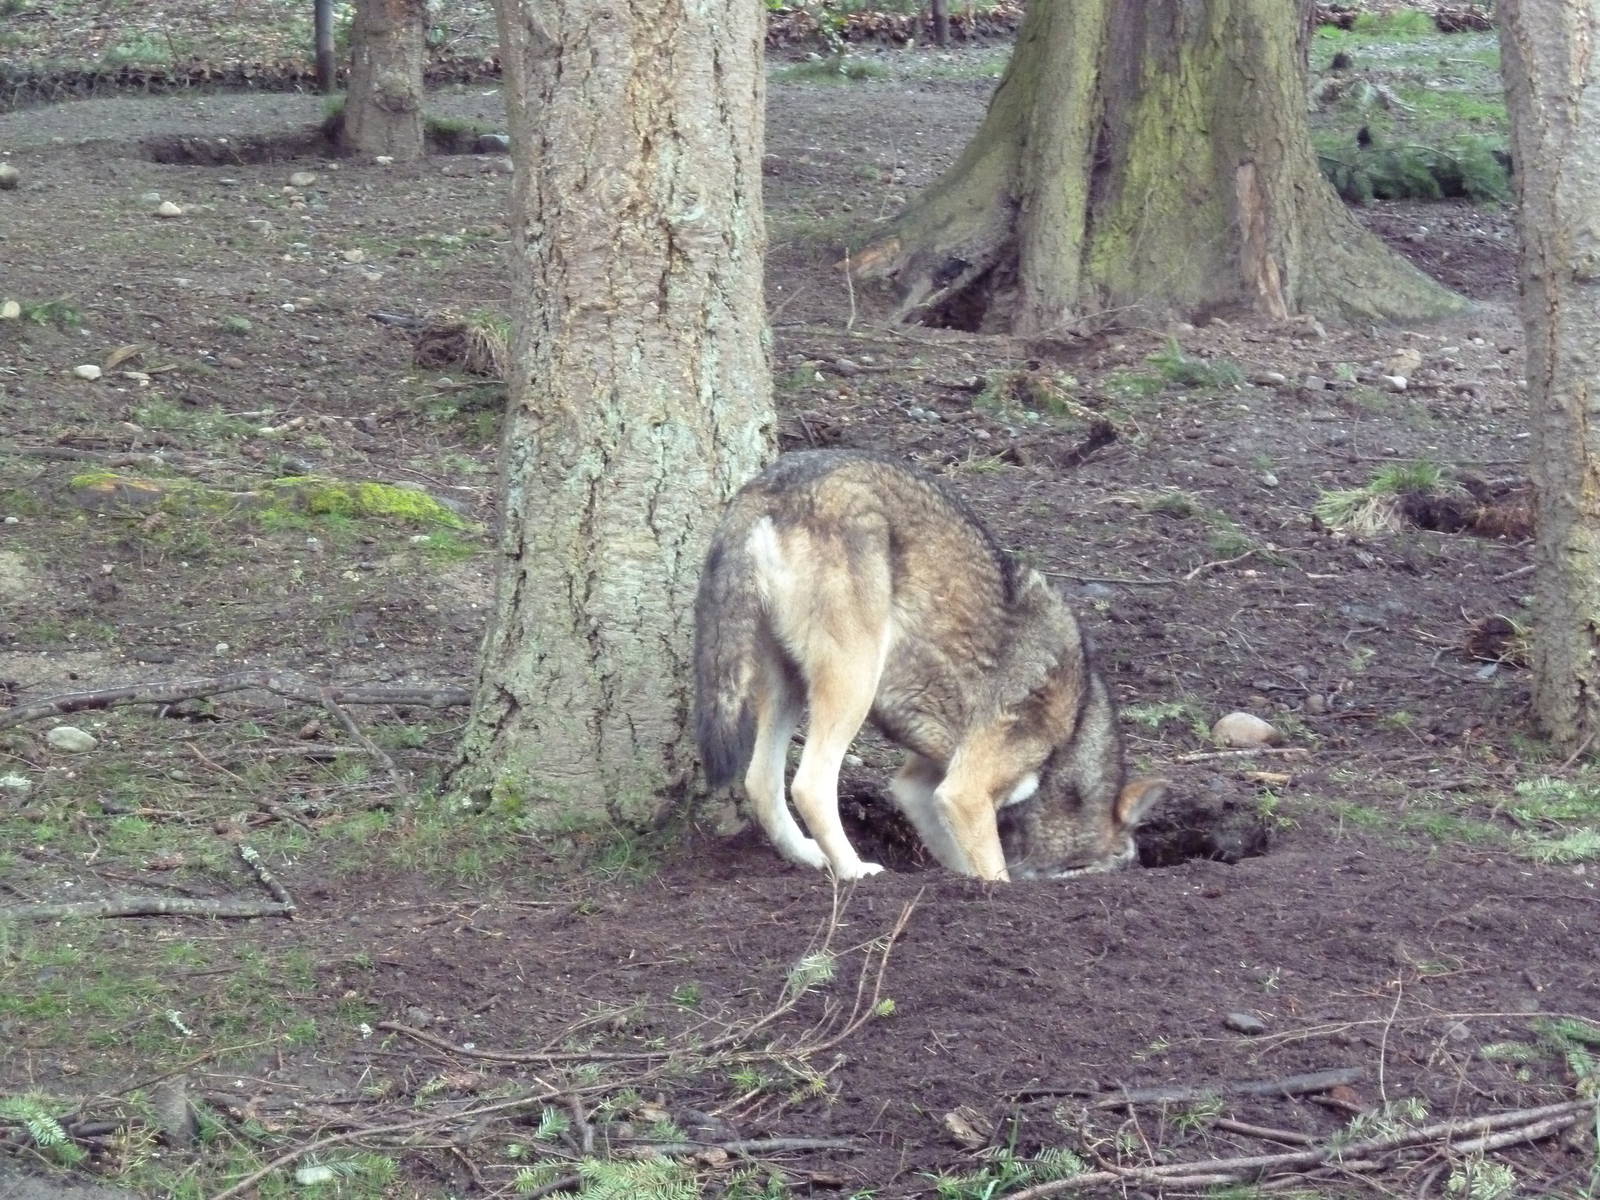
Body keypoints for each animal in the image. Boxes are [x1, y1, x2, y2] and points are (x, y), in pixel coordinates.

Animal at [694, 449, 1165, 882]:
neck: (1072, 731)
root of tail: (772, 485)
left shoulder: (922, 787)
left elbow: (962, 861)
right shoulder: (966, 794)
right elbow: (995, 872)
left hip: (788, 685)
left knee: (760, 781)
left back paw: (809, 857)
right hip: (853, 683)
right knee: (809, 785)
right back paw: (854, 871)